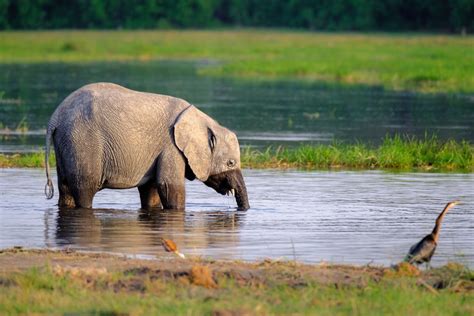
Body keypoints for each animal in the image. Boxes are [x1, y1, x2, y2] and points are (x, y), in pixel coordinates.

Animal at [44, 82, 250, 210]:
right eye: (231, 163)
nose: (244, 210)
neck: (203, 120)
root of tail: (55, 117)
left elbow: (151, 191)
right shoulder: (171, 146)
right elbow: (169, 186)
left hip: (66, 142)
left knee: (66, 190)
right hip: (82, 141)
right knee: (85, 189)